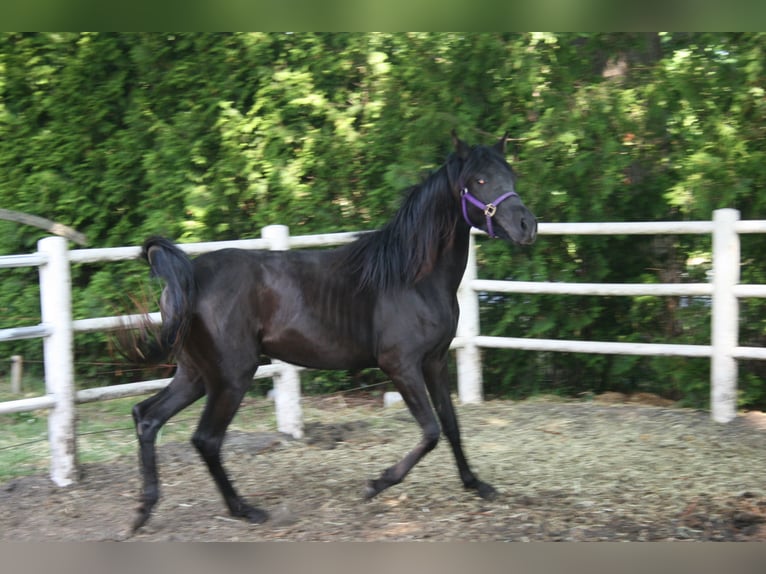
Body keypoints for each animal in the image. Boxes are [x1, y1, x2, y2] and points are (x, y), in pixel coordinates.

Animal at [130, 132, 540, 532]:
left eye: (511, 176)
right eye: (479, 181)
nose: (527, 226)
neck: (412, 277)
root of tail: (188, 277)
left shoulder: (435, 362)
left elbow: (451, 426)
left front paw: (477, 484)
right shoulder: (401, 366)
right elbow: (430, 431)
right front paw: (376, 483)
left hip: (196, 375)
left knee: (147, 417)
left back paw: (144, 511)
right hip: (231, 376)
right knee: (206, 439)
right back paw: (244, 510)